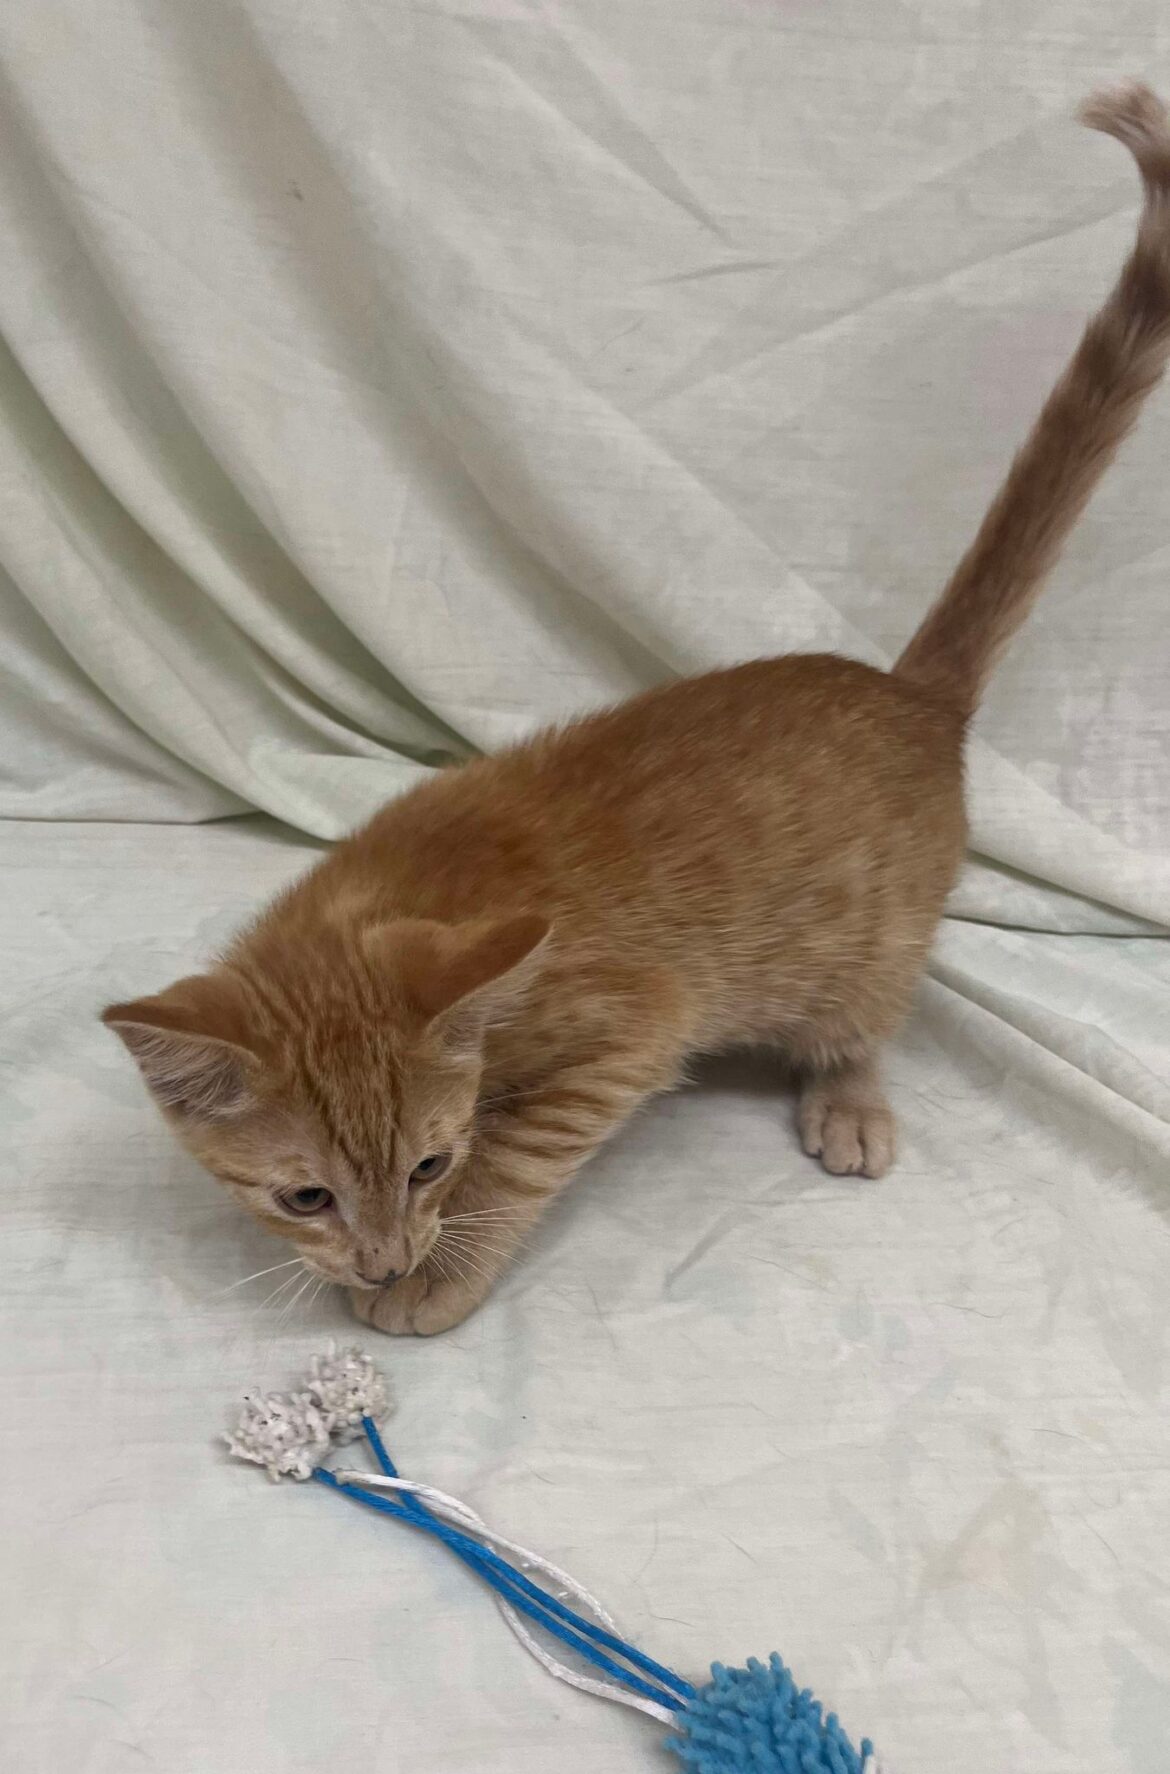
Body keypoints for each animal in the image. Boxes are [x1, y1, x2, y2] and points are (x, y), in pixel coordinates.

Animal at [104, 86, 1170, 1337]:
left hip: (865, 944)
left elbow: (521, 1150)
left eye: (429, 1165)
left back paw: (850, 1097)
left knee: (865, 1016)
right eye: (304, 1195)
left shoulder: (629, 1025)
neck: (394, 892)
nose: (381, 1257)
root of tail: (909, 691)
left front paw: (442, 1272)